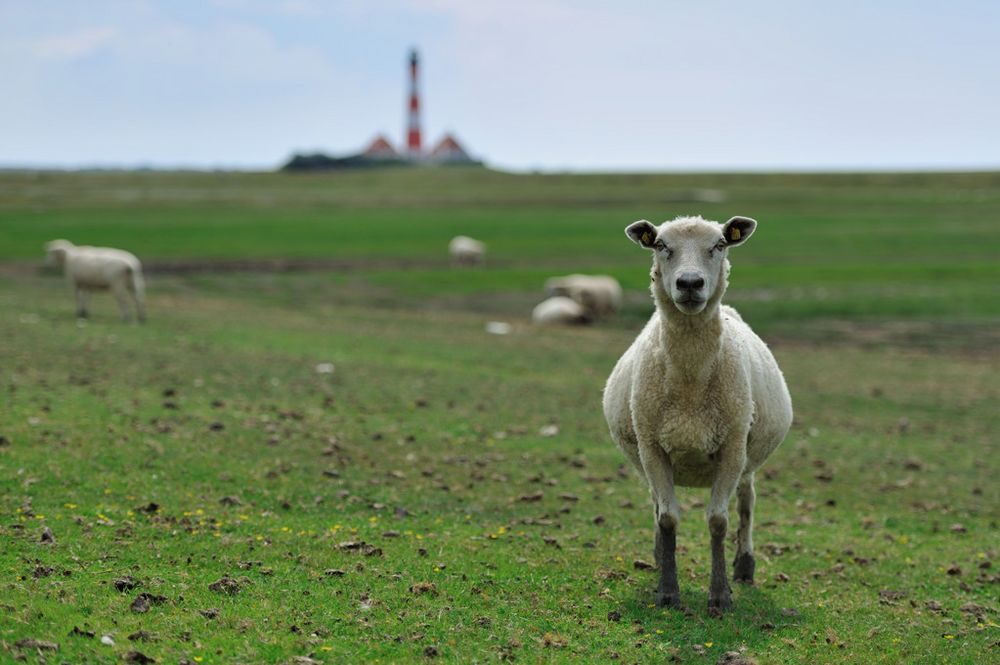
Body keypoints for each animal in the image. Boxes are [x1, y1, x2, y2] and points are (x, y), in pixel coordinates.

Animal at [596, 214, 792, 612]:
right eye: (660, 245)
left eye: (719, 244)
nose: (689, 283)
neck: (689, 381)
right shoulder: (653, 448)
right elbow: (668, 518)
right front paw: (668, 591)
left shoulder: (732, 448)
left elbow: (719, 521)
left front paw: (720, 595)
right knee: (657, 506)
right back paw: (659, 557)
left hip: (747, 454)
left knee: (747, 502)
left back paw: (744, 565)